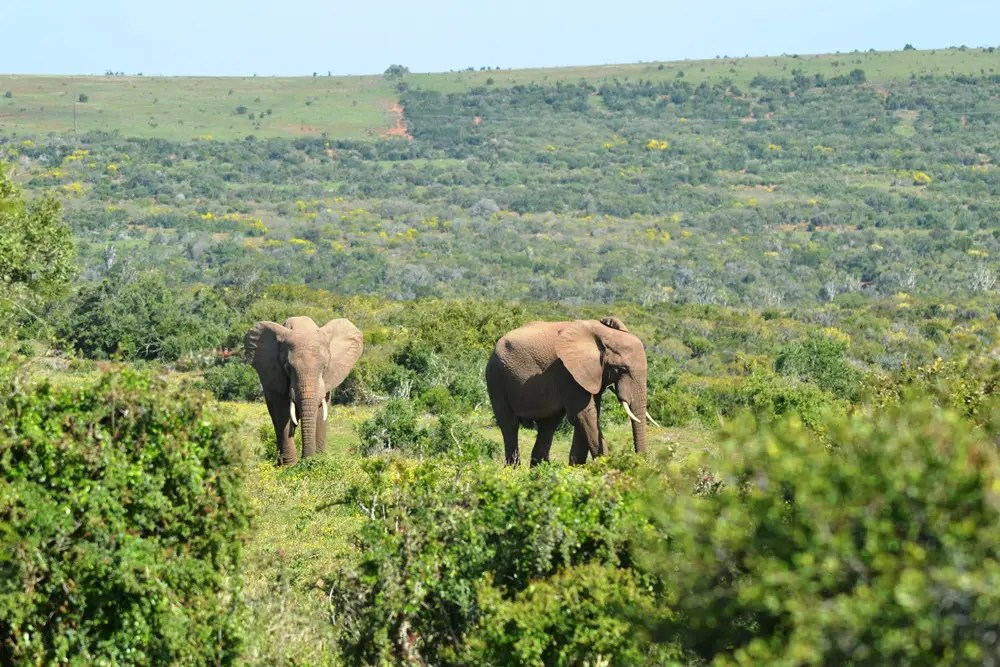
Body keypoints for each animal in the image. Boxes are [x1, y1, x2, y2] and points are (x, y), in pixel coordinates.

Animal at [245, 316, 363, 465]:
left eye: (324, 368)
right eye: (288, 368)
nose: (307, 460)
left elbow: (320, 413)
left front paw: (319, 460)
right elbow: (282, 414)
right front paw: (289, 466)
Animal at [486, 316, 658, 466]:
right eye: (621, 369)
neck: (604, 334)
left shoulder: (593, 374)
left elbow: (589, 415)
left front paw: (576, 467)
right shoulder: (567, 373)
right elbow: (584, 415)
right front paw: (606, 467)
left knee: (548, 425)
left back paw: (540, 470)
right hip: (495, 378)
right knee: (509, 424)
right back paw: (513, 470)